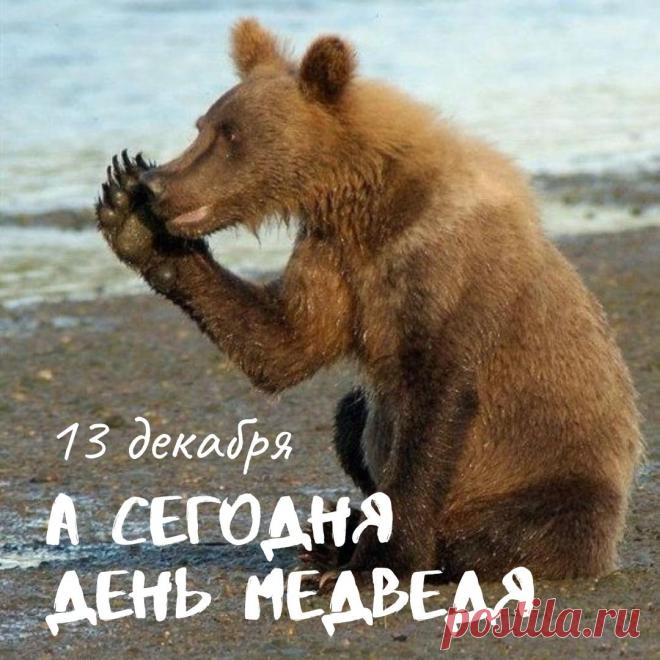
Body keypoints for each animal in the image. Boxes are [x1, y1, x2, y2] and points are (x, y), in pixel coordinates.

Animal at [97, 18, 642, 584]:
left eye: (230, 135)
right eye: (202, 124)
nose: (158, 183)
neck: (366, 200)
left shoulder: (443, 266)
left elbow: (437, 402)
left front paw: (383, 558)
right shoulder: (333, 255)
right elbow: (287, 343)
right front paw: (129, 216)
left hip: (554, 475)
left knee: (508, 531)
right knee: (350, 416)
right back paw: (331, 531)